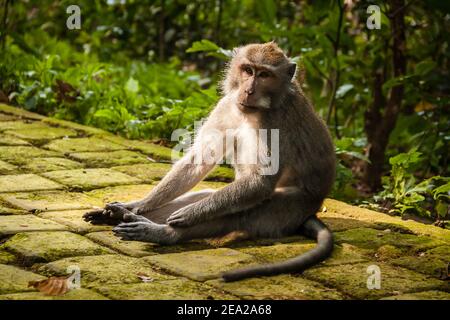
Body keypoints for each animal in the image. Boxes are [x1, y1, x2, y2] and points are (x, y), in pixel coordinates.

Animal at [84, 42, 336, 282]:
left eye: (265, 75)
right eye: (248, 70)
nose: (248, 90)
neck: (256, 110)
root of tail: (312, 209)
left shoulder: (277, 120)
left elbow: (260, 183)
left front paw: (189, 215)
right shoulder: (227, 104)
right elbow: (198, 160)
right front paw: (137, 205)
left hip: (291, 207)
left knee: (243, 214)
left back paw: (164, 234)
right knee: (210, 196)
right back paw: (123, 215)